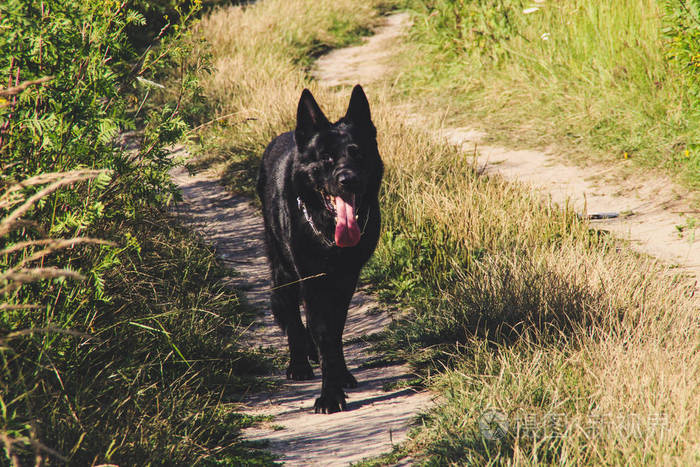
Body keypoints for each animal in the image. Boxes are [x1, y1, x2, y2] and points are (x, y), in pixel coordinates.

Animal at [258, 86, 382, 414]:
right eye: (326, 158)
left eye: (357, 152)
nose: (347, 180)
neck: (328, 231)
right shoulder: (312, 280)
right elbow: (322, 332)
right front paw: (330, 395)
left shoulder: (345, 279)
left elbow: (336, 332)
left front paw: (339, 377)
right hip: (284, 272)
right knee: (292, 315)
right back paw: (299, 363)